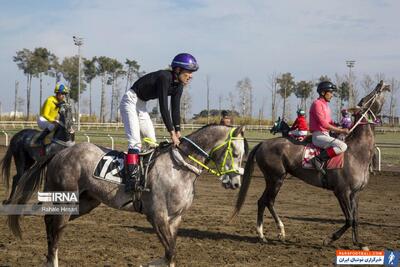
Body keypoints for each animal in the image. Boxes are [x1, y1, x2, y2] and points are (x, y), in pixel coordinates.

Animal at [7, 125, 247, 267]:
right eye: (235, 153)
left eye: (243, 154)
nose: (235, 182)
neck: (179, 167)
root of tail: (61, 152)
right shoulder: (157, 216)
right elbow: (170, 251)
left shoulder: (175, 219)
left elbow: (169, 252)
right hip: (67, 199)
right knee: (55, 228)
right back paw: (53, 260)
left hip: (85, 203)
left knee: (50, 221)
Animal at [231, 81, 390, 251]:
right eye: (366, 97)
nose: (382, 84)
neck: (356, 153)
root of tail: (263, 143)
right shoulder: (341, 192)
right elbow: (349, 220)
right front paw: (329, 239)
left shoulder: (355, 194)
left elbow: (356, 219)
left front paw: (359, 243)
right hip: (276, 178)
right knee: (267, 201)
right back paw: (273, 233)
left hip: (274, 179)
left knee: (264, 201)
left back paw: (266, 234)